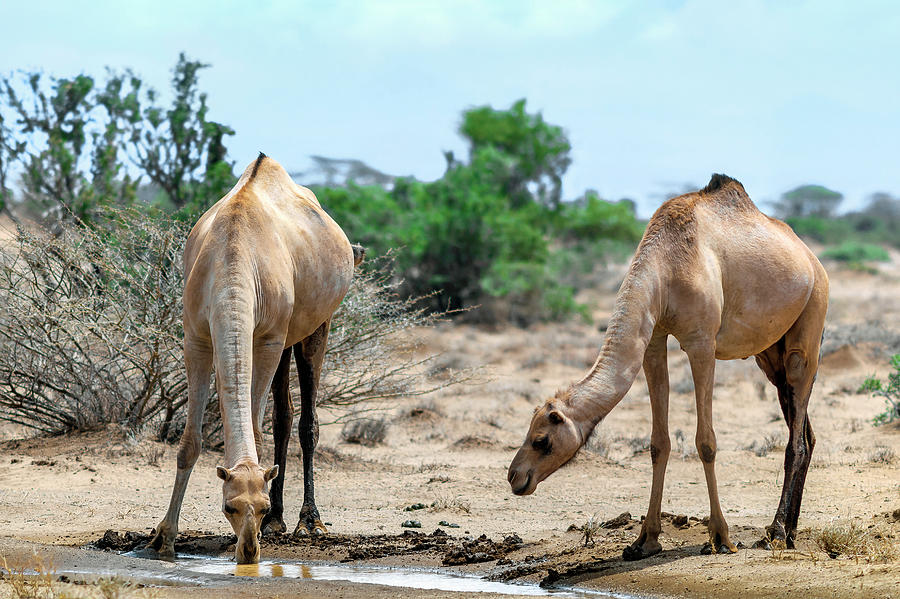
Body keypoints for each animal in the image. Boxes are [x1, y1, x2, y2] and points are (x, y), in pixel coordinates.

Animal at [148, 152, 362, 564]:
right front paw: (163, 537)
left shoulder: (266, 338)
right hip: (285, 338)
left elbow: (258, 431)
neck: (232, 265)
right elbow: (189, 442)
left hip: (316, 325)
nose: (249, 550)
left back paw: (308, 522)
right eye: (227, 506)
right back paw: (282, 521)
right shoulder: (197, 337)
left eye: (257, 506)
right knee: (284, 415)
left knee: (307, 420)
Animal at [506, 176, 828, 560]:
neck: (666, 268)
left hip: (809, 325)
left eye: (541, 440)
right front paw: (644, 541)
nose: (514, 476)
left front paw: (721, 538)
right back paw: (789, 530)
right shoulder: (654, 339)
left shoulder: (702, 342)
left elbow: (706, 441)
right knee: (804, 432)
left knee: (796, 434)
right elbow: (658, 443)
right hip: (769, 355)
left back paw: (776, 533)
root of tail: (813, 261)